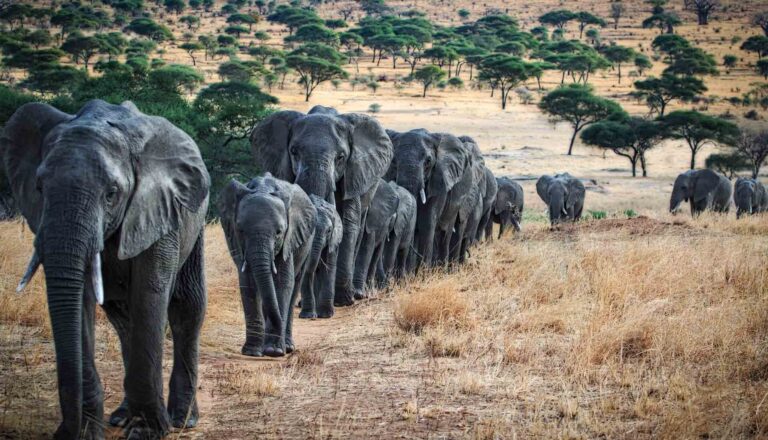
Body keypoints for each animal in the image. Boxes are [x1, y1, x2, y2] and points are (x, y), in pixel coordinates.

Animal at [2, 100, 210, 439]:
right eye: (39, 188)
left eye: (112, 193)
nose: (67, 430)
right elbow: (82, 302)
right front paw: (85, 432)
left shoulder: (159, 209)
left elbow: (150, 295)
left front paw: (147, 431)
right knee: (123, 319)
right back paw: (121, 416)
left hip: (194, 220)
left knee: (186, 306)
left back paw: (182, 419)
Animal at [218, 174, 316, 357]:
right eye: (240, 230)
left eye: (279, 232)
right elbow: (248, 283)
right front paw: (252, 352)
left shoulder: (289, 238)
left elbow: (282, 282)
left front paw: (274, 351)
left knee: (295, 286)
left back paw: (287, 346)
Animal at [250, 105, 393, 308]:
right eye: (293, 151)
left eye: (341, 157)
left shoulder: (353, 174)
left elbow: (348, 223)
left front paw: (343, 300)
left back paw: (355, 294)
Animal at [385, 128, 472, 270]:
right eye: (393, 161)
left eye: (428, 161)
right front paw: (410, 274)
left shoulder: (439, 180)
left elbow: (427, 222)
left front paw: (423, 273)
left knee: (447, 231)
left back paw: (444, 270)